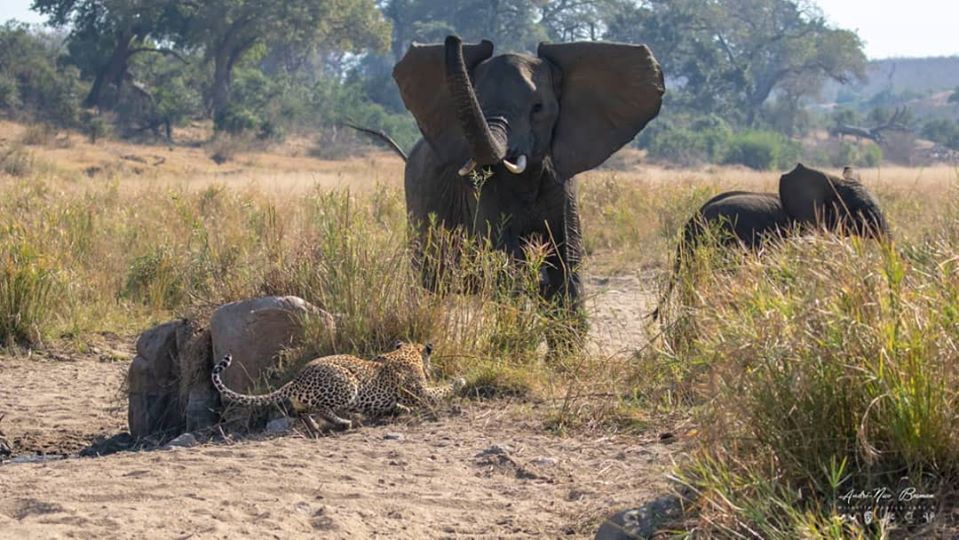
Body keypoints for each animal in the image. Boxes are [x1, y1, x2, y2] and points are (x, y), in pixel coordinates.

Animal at [211, 341, 464, 430]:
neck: (407, 351)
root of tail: (296, 379)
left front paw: (401, 410)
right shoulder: (423, 393)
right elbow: (441, 390)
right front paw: (460, 381)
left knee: (301, 411)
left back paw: (315, 427)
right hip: (347, 384)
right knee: (320, 408)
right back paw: (343, 422)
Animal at [392, 35, 664, 343]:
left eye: (538, 108)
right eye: (478, 102)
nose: (454, 39)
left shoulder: (562, 182)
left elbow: (566, 259)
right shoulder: (483, 192)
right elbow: (506, 259)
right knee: (427, 286)